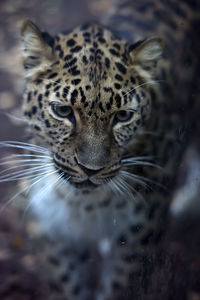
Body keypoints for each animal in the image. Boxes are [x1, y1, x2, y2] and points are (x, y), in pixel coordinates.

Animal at [1, 0, 200, 300]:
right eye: (63, 111)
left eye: (123, 116)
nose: (90, 170)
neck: (84, 203)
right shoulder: (57, 234)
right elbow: (69, 287)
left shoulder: (136, 243)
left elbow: (118, 288)